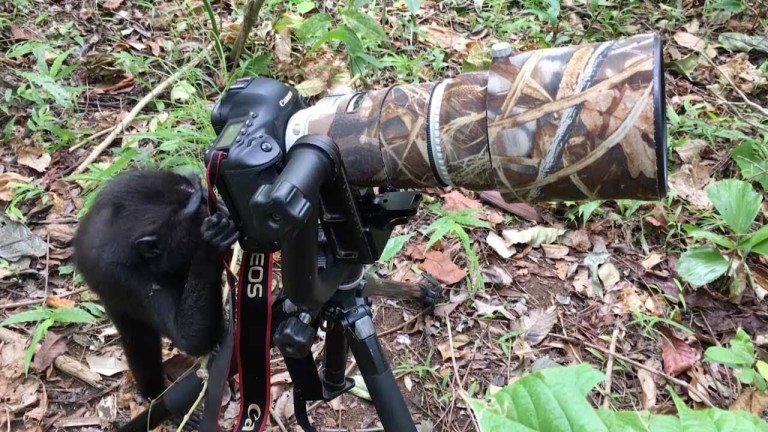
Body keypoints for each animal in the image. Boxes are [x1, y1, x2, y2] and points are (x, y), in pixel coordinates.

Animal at [74, 170, 240, 402]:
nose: (223, 209)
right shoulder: (131, 281)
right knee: (140, 343)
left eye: (205, 198)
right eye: (200, 210)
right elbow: (189, 338)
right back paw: (154, 394)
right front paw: (210, 243)